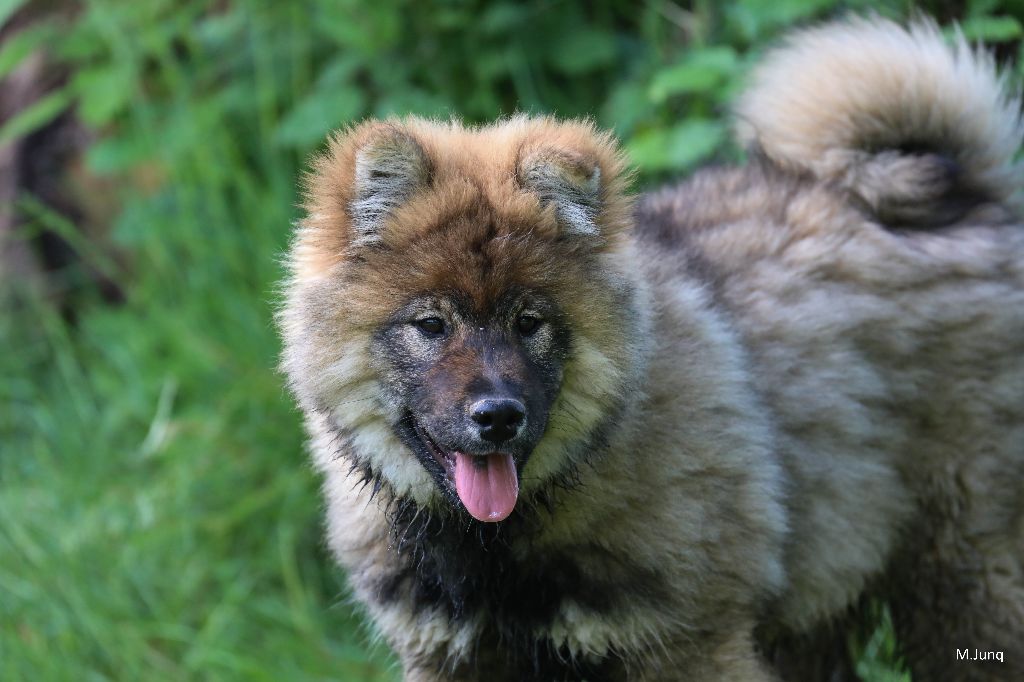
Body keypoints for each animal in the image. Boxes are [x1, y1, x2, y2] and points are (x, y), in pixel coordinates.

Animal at [280, 17, 1024, 679]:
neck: (495, 547)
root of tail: (971, 200)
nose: (497, 417)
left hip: (966, 573)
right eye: (432, 325)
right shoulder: (451, 652)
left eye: (530, 322)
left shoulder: (690, 644)